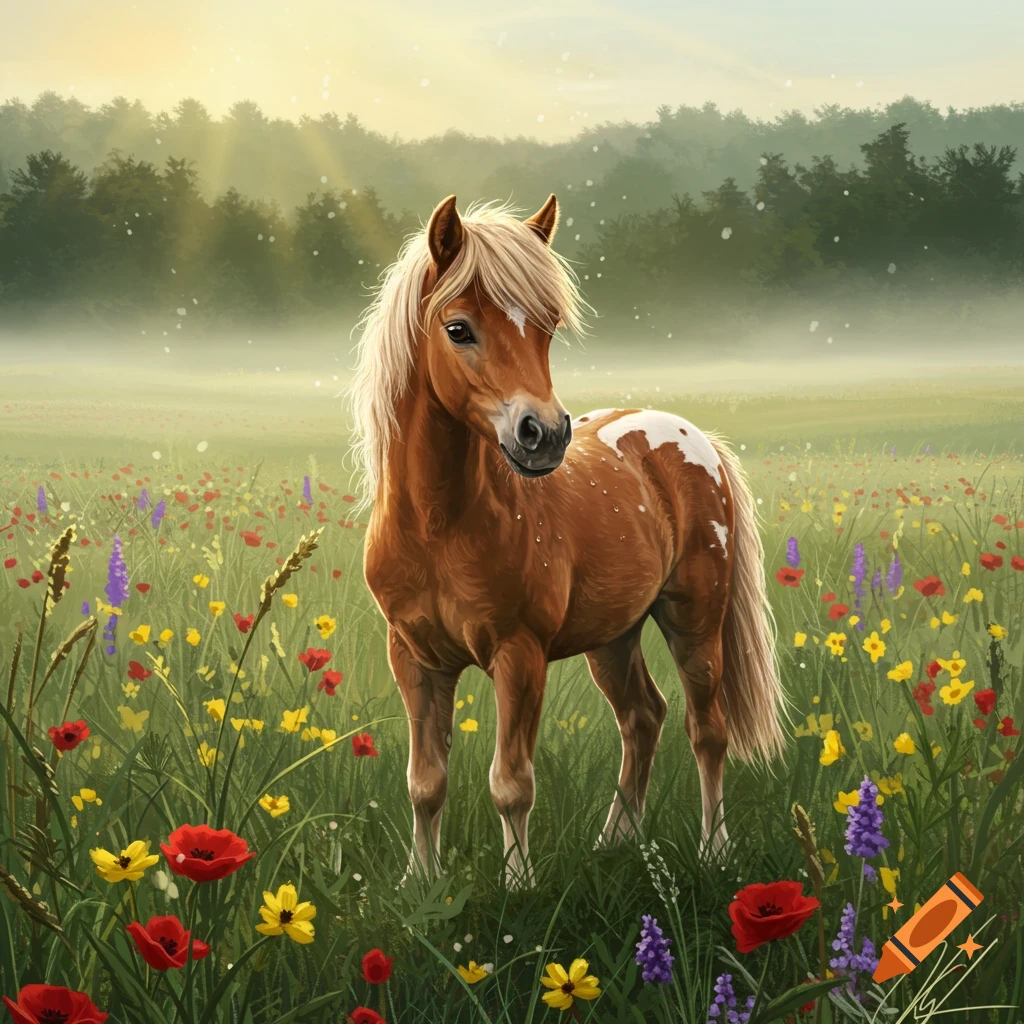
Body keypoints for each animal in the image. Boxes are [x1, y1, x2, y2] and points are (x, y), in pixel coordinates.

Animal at [348, 194, 785, 887]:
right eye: (458, 329)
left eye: (548, 326)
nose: (544, 436)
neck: (439, 528)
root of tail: (693, 438)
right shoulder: (413, 658)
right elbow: (425, 781)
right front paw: (420, 883)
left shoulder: (518, 655)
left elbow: (510, 783)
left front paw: (518, 887)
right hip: (613, 636)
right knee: (643, 718)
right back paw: (614, 844)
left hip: (696, 620)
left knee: (705, 730)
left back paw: (714, 852)